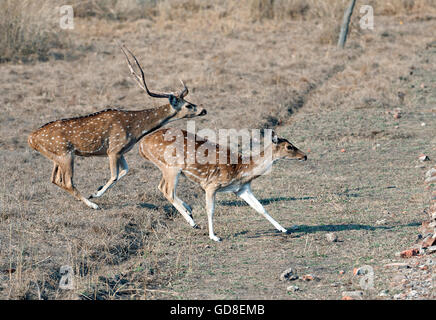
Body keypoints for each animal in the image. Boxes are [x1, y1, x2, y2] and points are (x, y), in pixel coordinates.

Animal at [27, 45, 208, 210]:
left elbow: (125, 171)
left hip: (56, 156)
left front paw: (98, 188)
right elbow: (114, 175)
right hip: (65, 153)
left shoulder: (121, 151)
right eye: (188, 105)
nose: (203, 109)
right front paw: (95, 193)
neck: (135, 129)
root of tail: (31, 138)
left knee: (54, 179)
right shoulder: (113, 149)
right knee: (67, 181)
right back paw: (92, 204)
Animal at [140, 129, 306, 241]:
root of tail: (142, 145)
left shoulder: (242, 189)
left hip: (167, 168)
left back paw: (189, 211)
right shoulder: (211, 185)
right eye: (289, 146)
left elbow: (260, 208)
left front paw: (284, 229)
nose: (305, 155)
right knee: (167, 190)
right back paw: (193, 222)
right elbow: (210, 210)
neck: (241, 169)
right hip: (171, 167)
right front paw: (214, 237)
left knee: (162, 187)